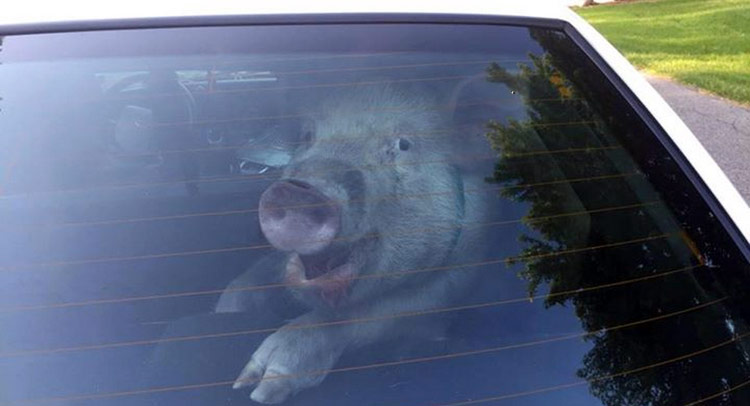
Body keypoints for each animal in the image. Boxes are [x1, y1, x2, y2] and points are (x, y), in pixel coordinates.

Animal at [217, 84, 500, 404]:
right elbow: (250, 281)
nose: (300, 192)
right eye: (307, 135)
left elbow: (378, 314)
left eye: (403, 144)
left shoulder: (460, 274)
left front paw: (258, 389)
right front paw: (227, 314)